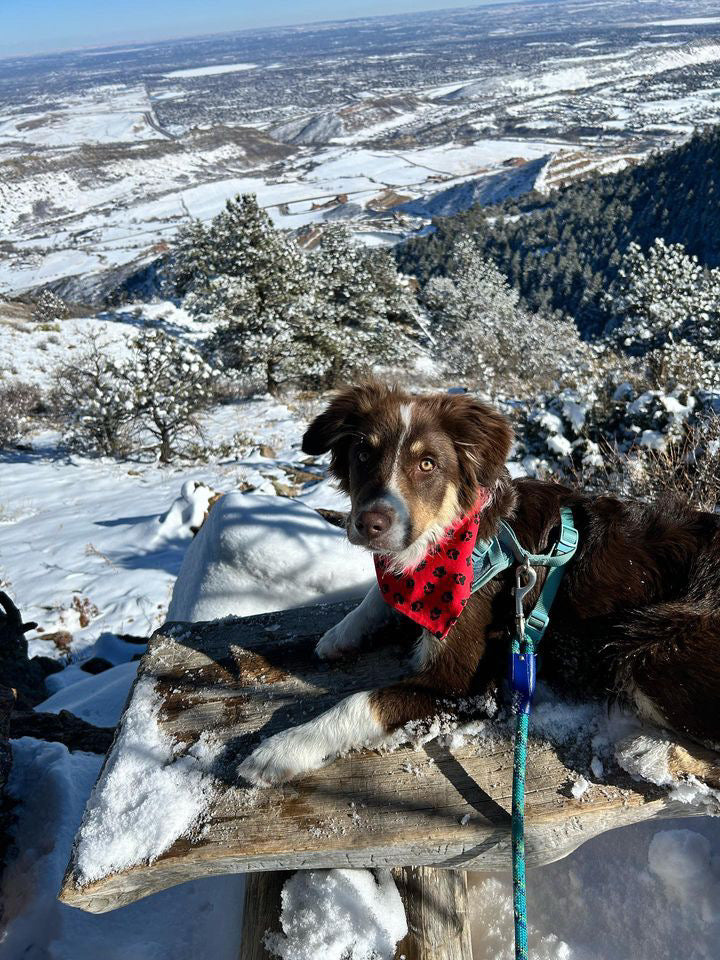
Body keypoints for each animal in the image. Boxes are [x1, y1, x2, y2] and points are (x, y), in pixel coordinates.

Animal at [239, 378, 720, 784]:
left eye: (427, 464)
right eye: (362, 456)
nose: (369, 524)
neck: (450, 538)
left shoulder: (466, 685)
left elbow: (360, 701)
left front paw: (282, 749)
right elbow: (378, 594)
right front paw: (342, 634)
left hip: (650, 647)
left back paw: (651, 754)